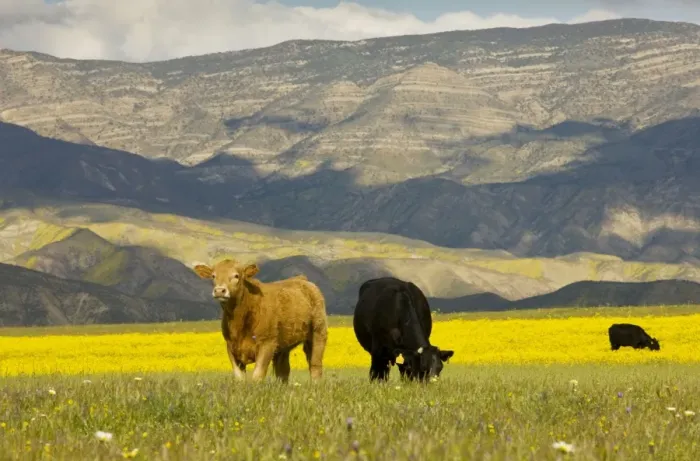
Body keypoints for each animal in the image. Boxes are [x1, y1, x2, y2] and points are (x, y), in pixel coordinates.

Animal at [193, 259, 328, 382]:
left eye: (236, 275)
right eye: (213, 276)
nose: (220, 290)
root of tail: (302, 279)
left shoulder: (267, 344)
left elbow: (257, 375)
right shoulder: (231, 347)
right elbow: (239, 377)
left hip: (318, 331)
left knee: (315, 365)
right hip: (283, 344)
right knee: (283, 370)